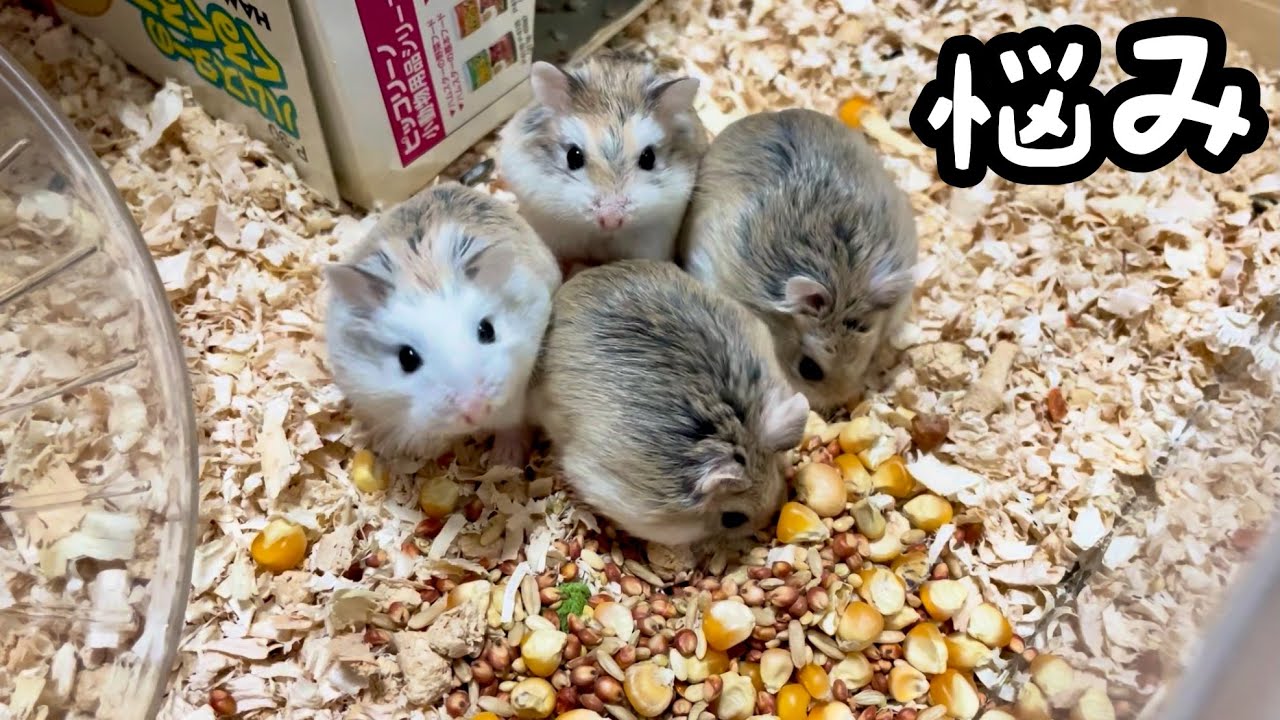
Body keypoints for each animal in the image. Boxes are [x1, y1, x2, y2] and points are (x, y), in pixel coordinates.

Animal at [325, 182, 560, 465]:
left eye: (487, 331)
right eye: (406, 359)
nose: (476, 410)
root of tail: (448, 184)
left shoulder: (517, 393)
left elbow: (511, 425)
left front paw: (505, 461)